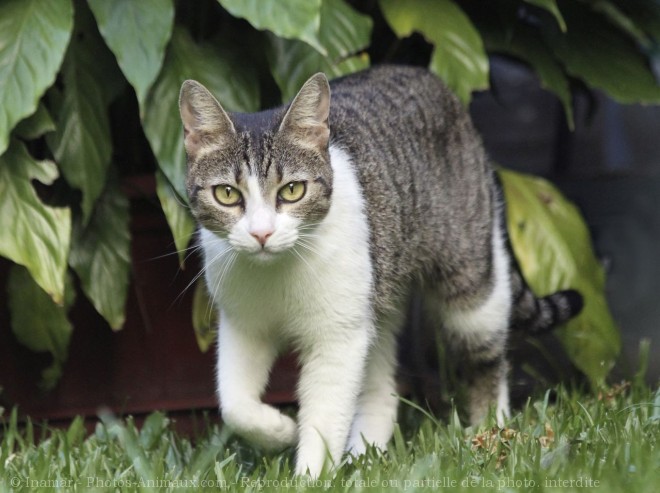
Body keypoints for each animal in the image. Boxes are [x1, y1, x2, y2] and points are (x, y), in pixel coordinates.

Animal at [177, 66, 584, 476]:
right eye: (227, 194)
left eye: (292, 190)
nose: (262, 233)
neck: (274, 273)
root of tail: (422, 73)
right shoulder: (243, 326)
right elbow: (234, 406)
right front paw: (280, 430)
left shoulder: (337, 337)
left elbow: (324, 416)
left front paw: (311, 475)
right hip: (377, 298)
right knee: (379, 388)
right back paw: (365, 453)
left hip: (469, 283)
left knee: (487, 357)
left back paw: (492, 432)